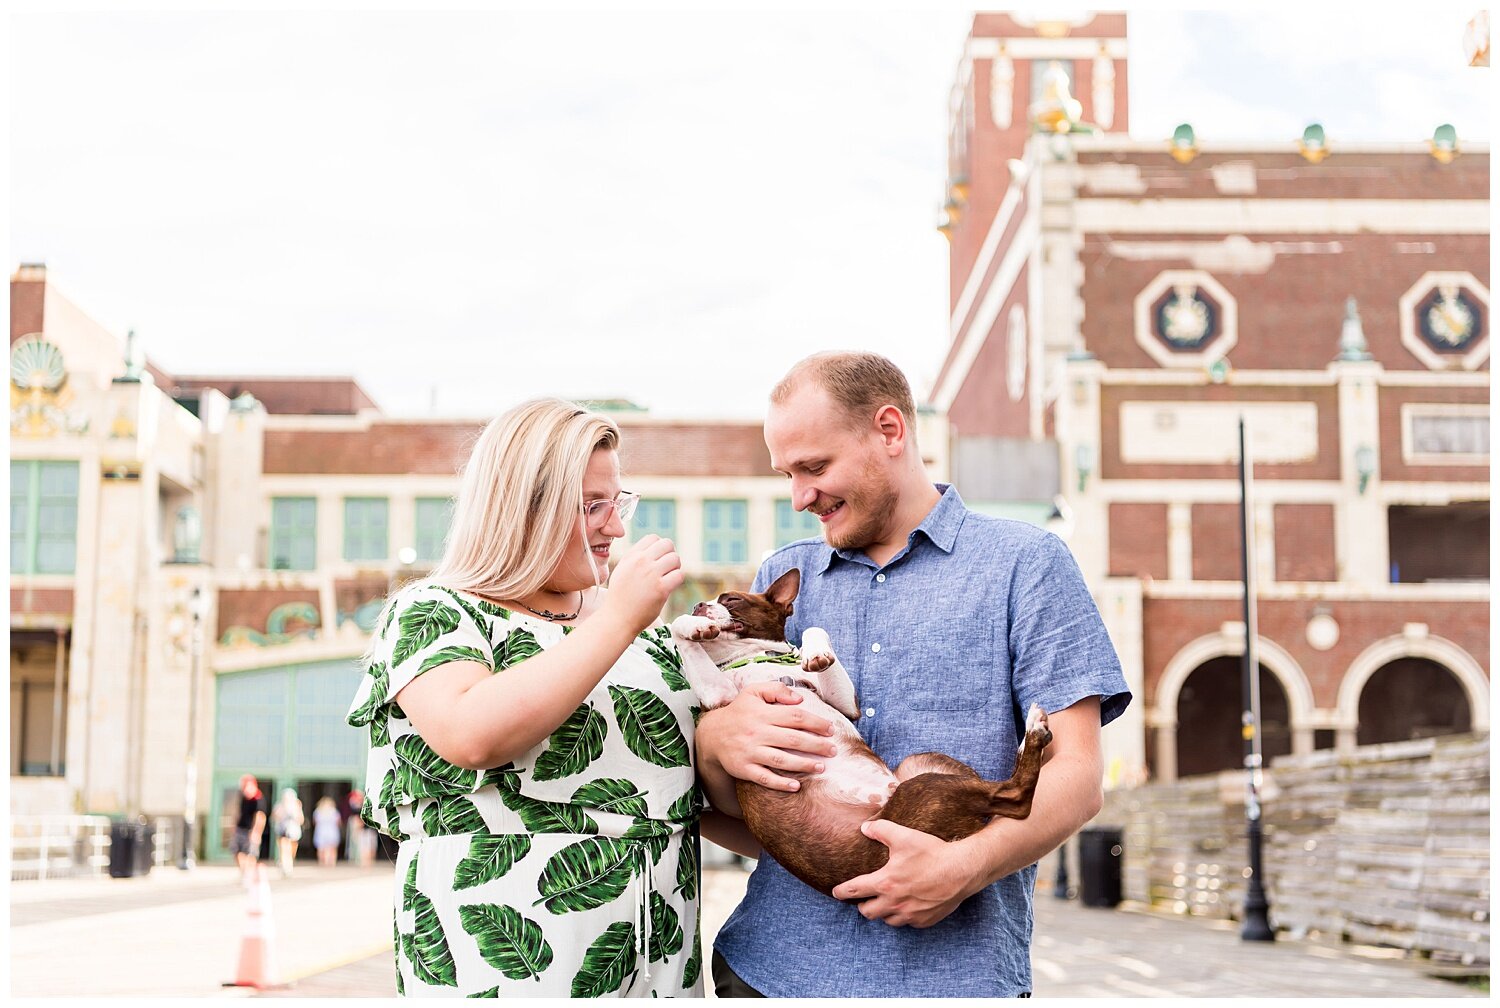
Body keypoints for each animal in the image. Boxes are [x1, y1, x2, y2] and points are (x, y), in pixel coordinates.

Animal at [672, 567, 1056, 900]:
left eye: (732, 599)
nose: (698, 604)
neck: (759, 659)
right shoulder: (720, 697)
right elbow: (677, 628)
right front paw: (691, 625)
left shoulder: (845, 702)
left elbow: (815, 631)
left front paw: (816, 653)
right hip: (926, 788)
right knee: (1015, 799)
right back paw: (1034, 732)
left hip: (923, 769)